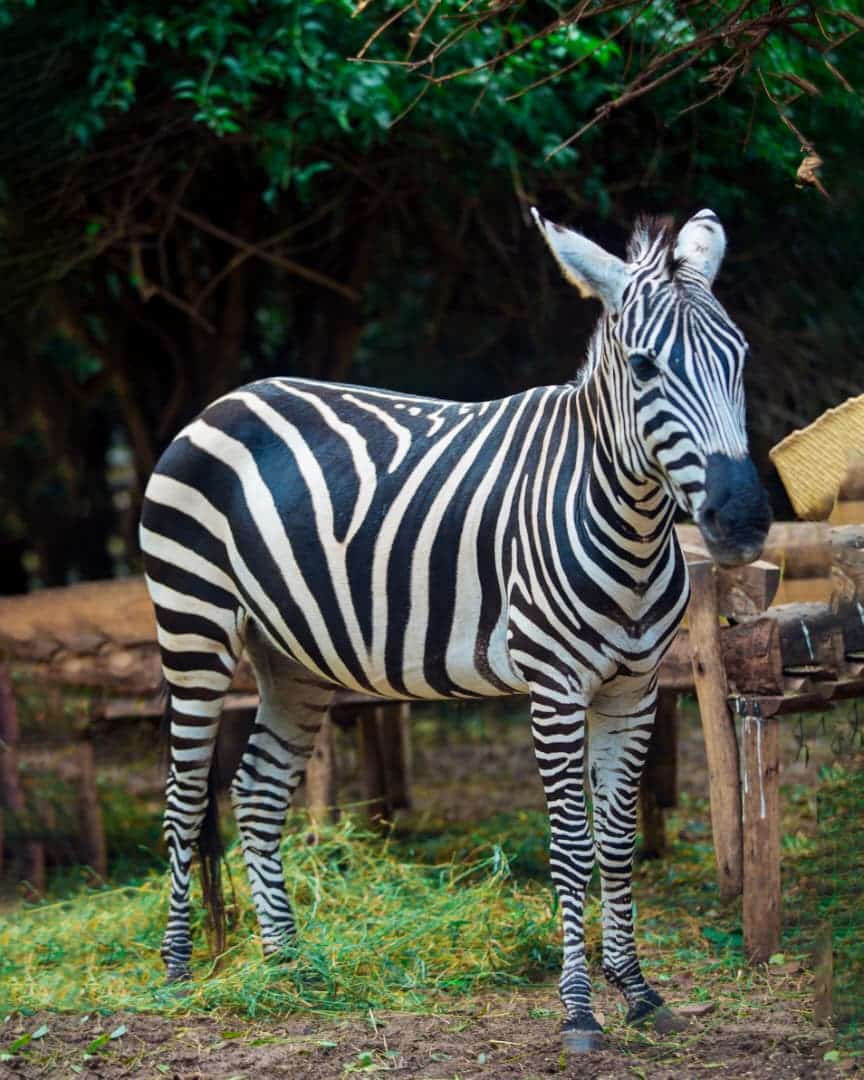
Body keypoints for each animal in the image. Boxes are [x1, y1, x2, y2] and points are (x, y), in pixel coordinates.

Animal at [140, 207, 771, 1052]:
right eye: (644, 368)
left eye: (739, 357)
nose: (743, 521)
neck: (632, 526)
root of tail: (224, 401)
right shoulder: (555, 687)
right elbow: (571, 845)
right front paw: (578, 1010)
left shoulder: (634, 691)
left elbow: (617, 842)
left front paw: (637, 991)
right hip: (194, 624)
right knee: (183, 796)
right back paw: (178, 974)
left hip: (291, 657)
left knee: (257, 792)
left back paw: (288, 967)